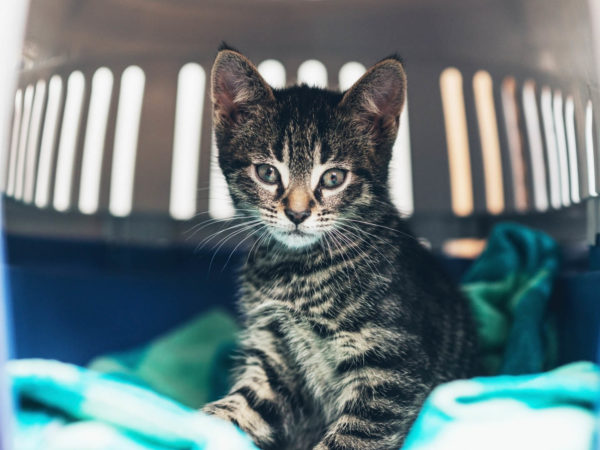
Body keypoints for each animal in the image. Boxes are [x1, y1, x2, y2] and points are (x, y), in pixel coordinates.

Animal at [204, 46, 476, 450]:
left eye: (333, 177)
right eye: (267, 173)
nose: (297, 213)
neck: (298, 270)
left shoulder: (392, 369)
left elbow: (352, 436)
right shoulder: (272, 359)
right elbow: (240, 407)